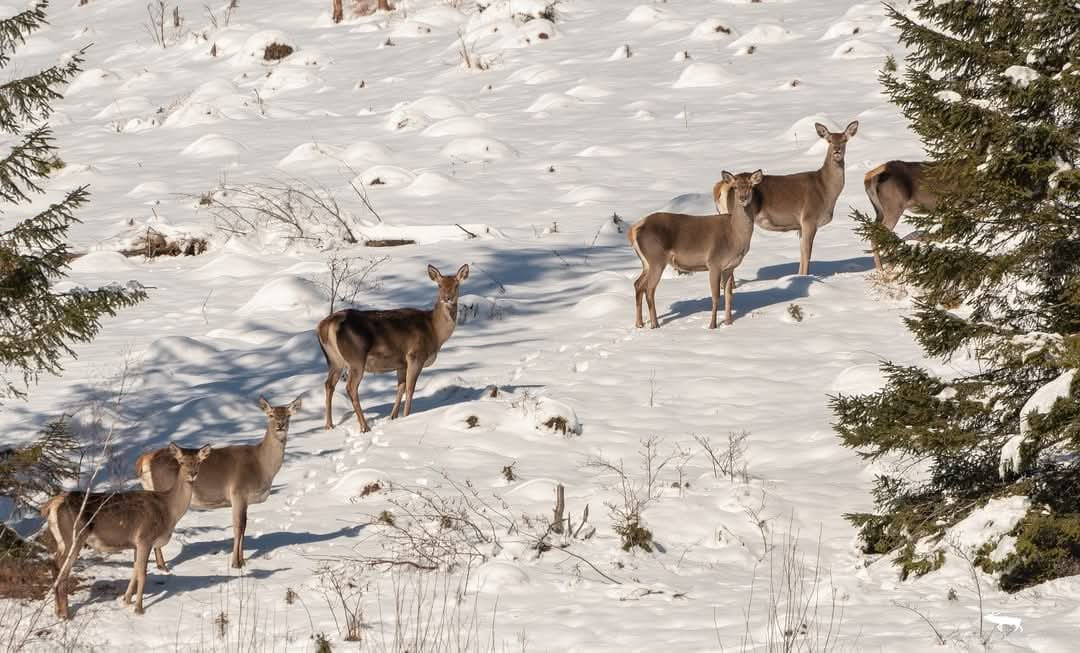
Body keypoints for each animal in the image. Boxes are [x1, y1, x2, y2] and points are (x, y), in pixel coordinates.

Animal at [43, 442, 210, 617]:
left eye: (199, 462)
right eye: (181, 462)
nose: (192, 474)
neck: (168, 509)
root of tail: (51, 506)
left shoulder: (136, 544)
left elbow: (135, 570)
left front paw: (127, 599)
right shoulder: (145, 538)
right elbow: (142, 573)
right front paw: (139, 609)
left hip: (63, 541)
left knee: (54, 566)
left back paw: (57, 611)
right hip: (73, 537)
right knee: (62, 570)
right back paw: (65, 614)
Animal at [137, 395, 304, 569]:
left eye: (288, 415)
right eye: (271, 415)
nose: (280, 424)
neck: (262, 466)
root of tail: (145, 459)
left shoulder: (245, 499)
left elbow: (244, 526)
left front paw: (243, 561)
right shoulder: (238, 491)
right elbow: (238, 526)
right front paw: (235, 563)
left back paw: (160, 565)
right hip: (164, 489)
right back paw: (163, 566)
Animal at [315, 262, 468, 429]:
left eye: (457, 285)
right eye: (439, 285)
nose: (447, 298)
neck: (434, 331)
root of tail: (327, 325)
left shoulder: (401, 364)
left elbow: (400, 388)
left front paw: (393, 417)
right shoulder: (415, 355)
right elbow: (410, 388)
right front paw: (407, 416)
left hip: (334, 360)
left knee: (328, 384)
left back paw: (329, 425)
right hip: (356, 358)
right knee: (351, 387)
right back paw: (364, 427)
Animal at [630, 170, 764, 328]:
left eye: (750, 186)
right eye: (735, 187)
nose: (743, 198)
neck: (734, 236)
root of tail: (634, 229)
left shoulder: (729, 267)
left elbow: (729, 295)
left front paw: (728, 323)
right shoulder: (714, 263)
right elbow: (716, 296)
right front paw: (712, 325)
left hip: (646, 262)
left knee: (638, 284)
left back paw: (639, 323)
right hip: (656, 259)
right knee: (649, 289)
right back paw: (655, 324)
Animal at [712, 119, 855, 275]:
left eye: (844, 140)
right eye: (829, 140)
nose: (837, 150)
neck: (825, 189)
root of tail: (722, 186)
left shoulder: (800, 226)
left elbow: (802, 253)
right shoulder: (809, 218)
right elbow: (807, 254)